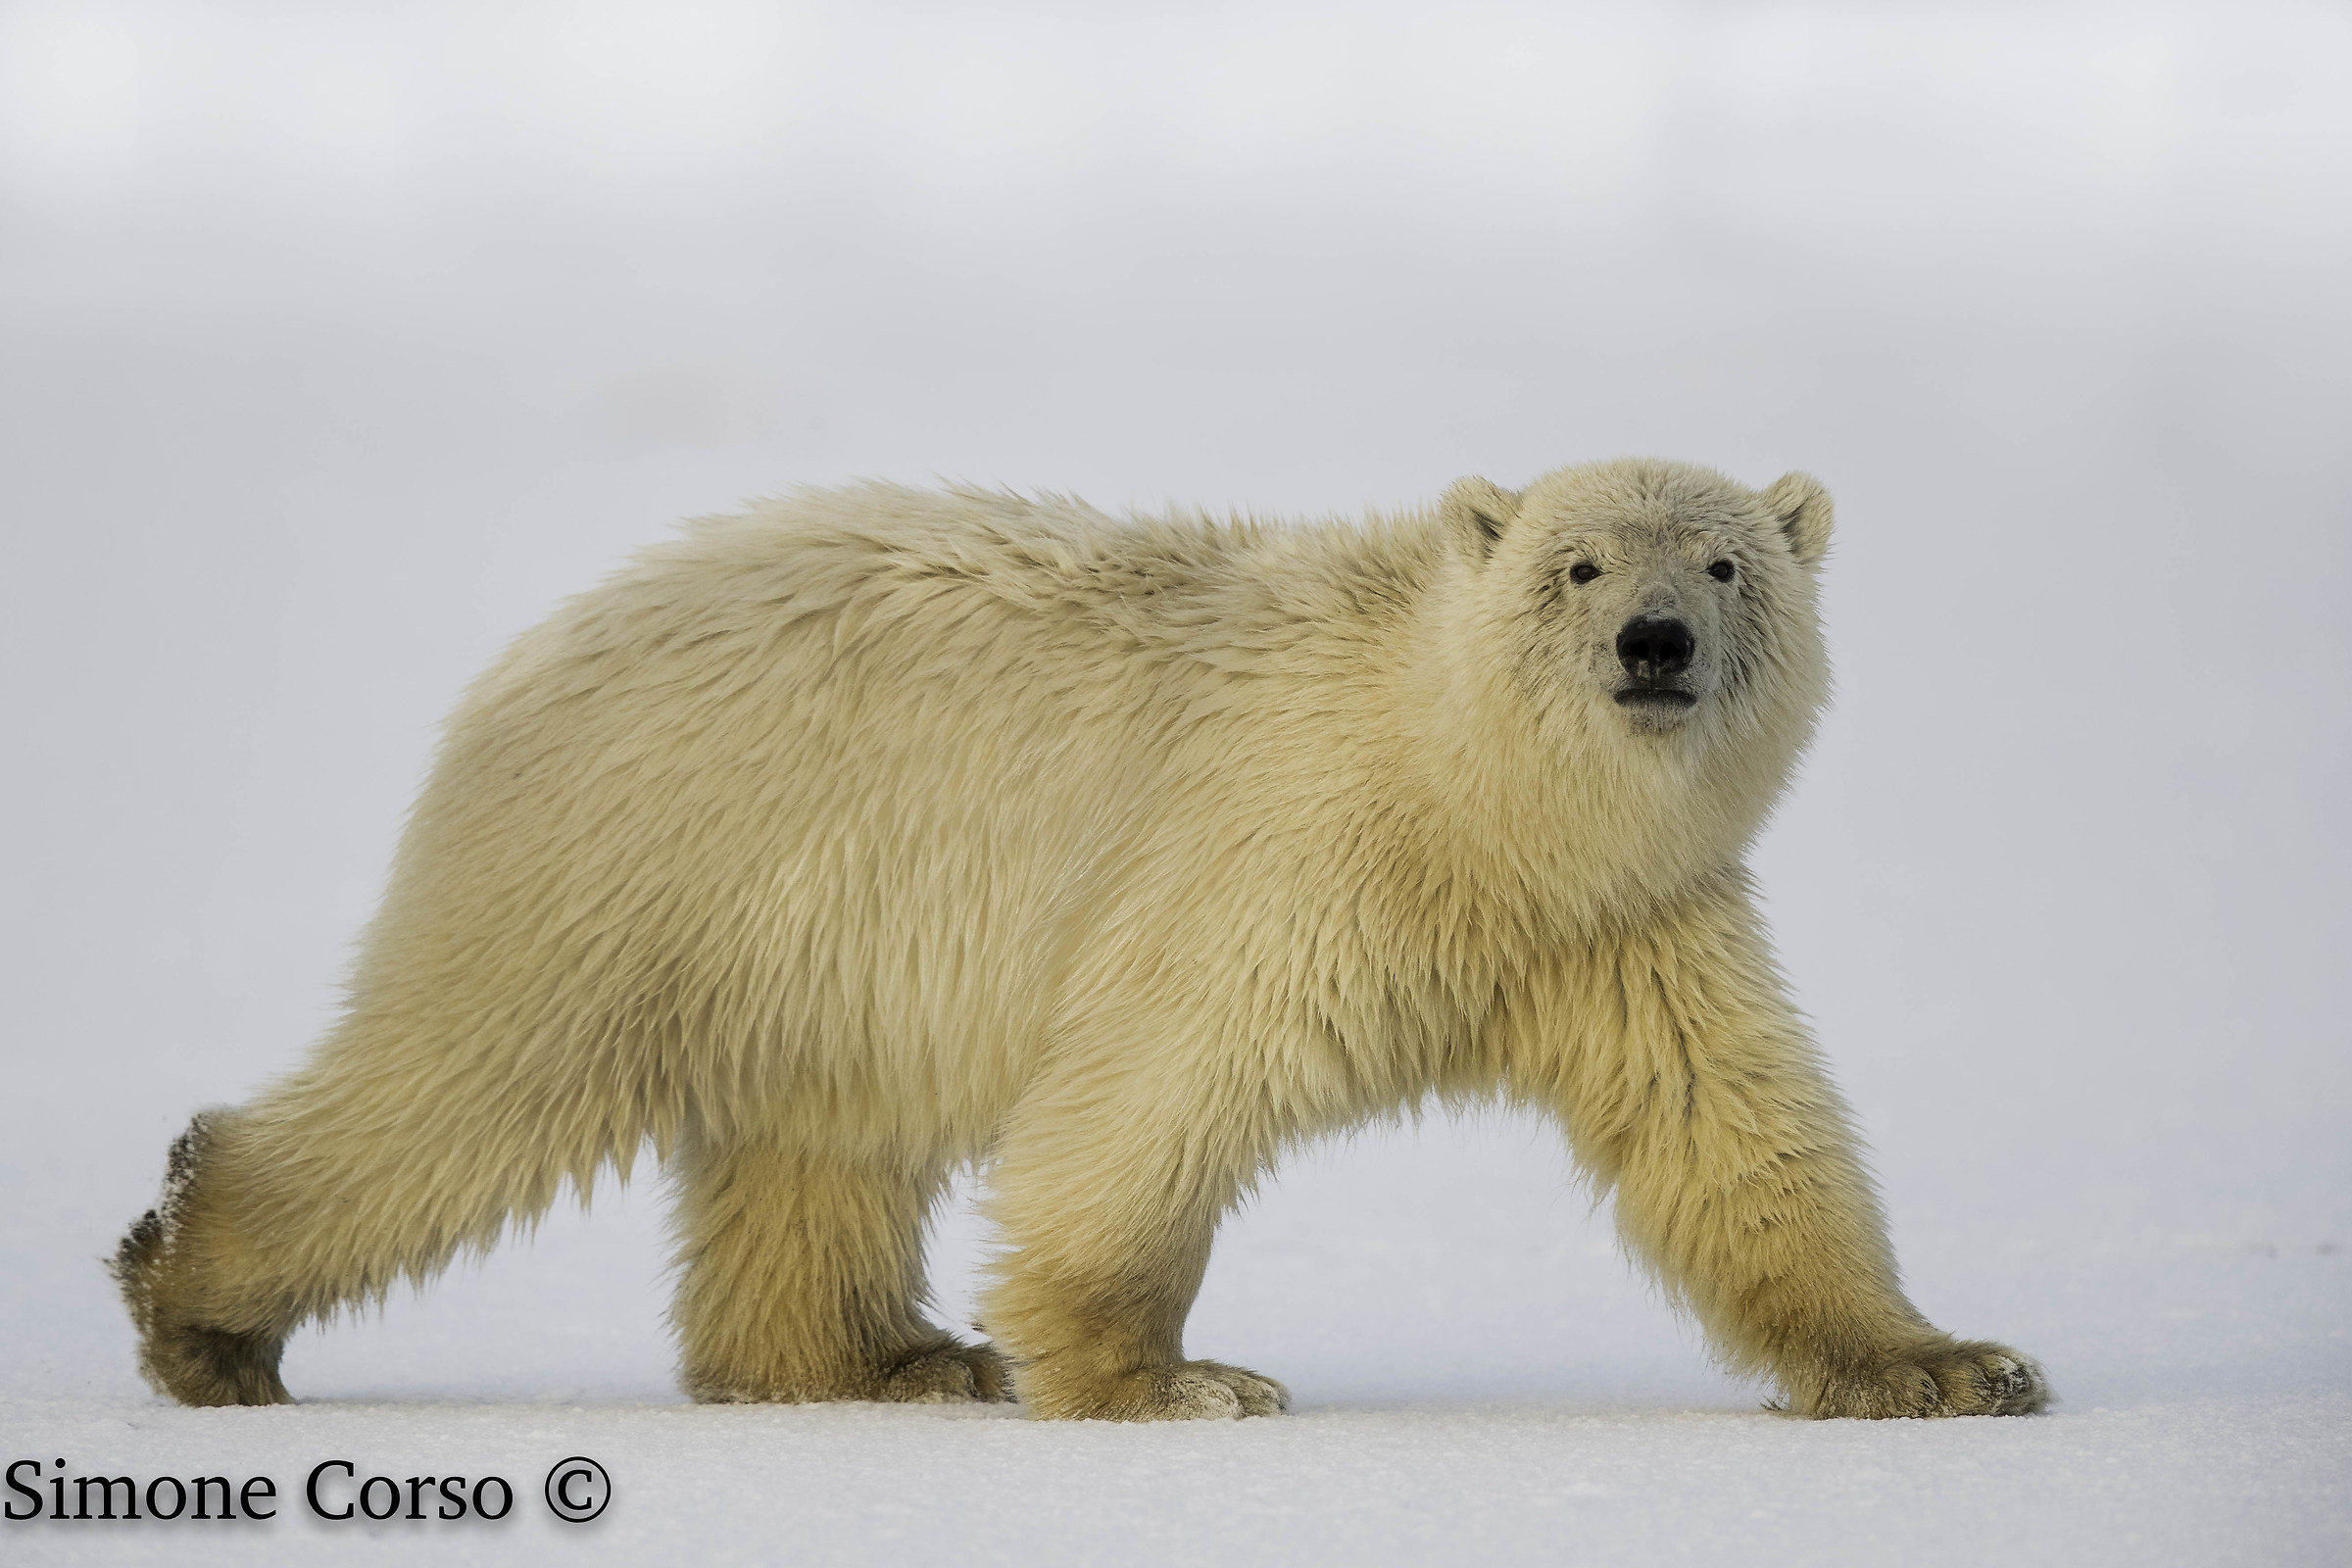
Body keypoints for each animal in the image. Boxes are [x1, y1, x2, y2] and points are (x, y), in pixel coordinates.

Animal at [112, 457, 2049, 1421]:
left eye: (1724, 566)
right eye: (1576, 567)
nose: (1652, 642)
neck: (1471, 809)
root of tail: (532, 649)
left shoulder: (1626, 928)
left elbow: (1739, 1134)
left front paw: (1948, 1365)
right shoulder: (1283, 851)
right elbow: (1157, 1089)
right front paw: (1173, 1378)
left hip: (808, 945)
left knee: (818, 1150)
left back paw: (876, 1361)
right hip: (646, 860)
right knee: (461, 1088)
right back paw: (199, 1303)